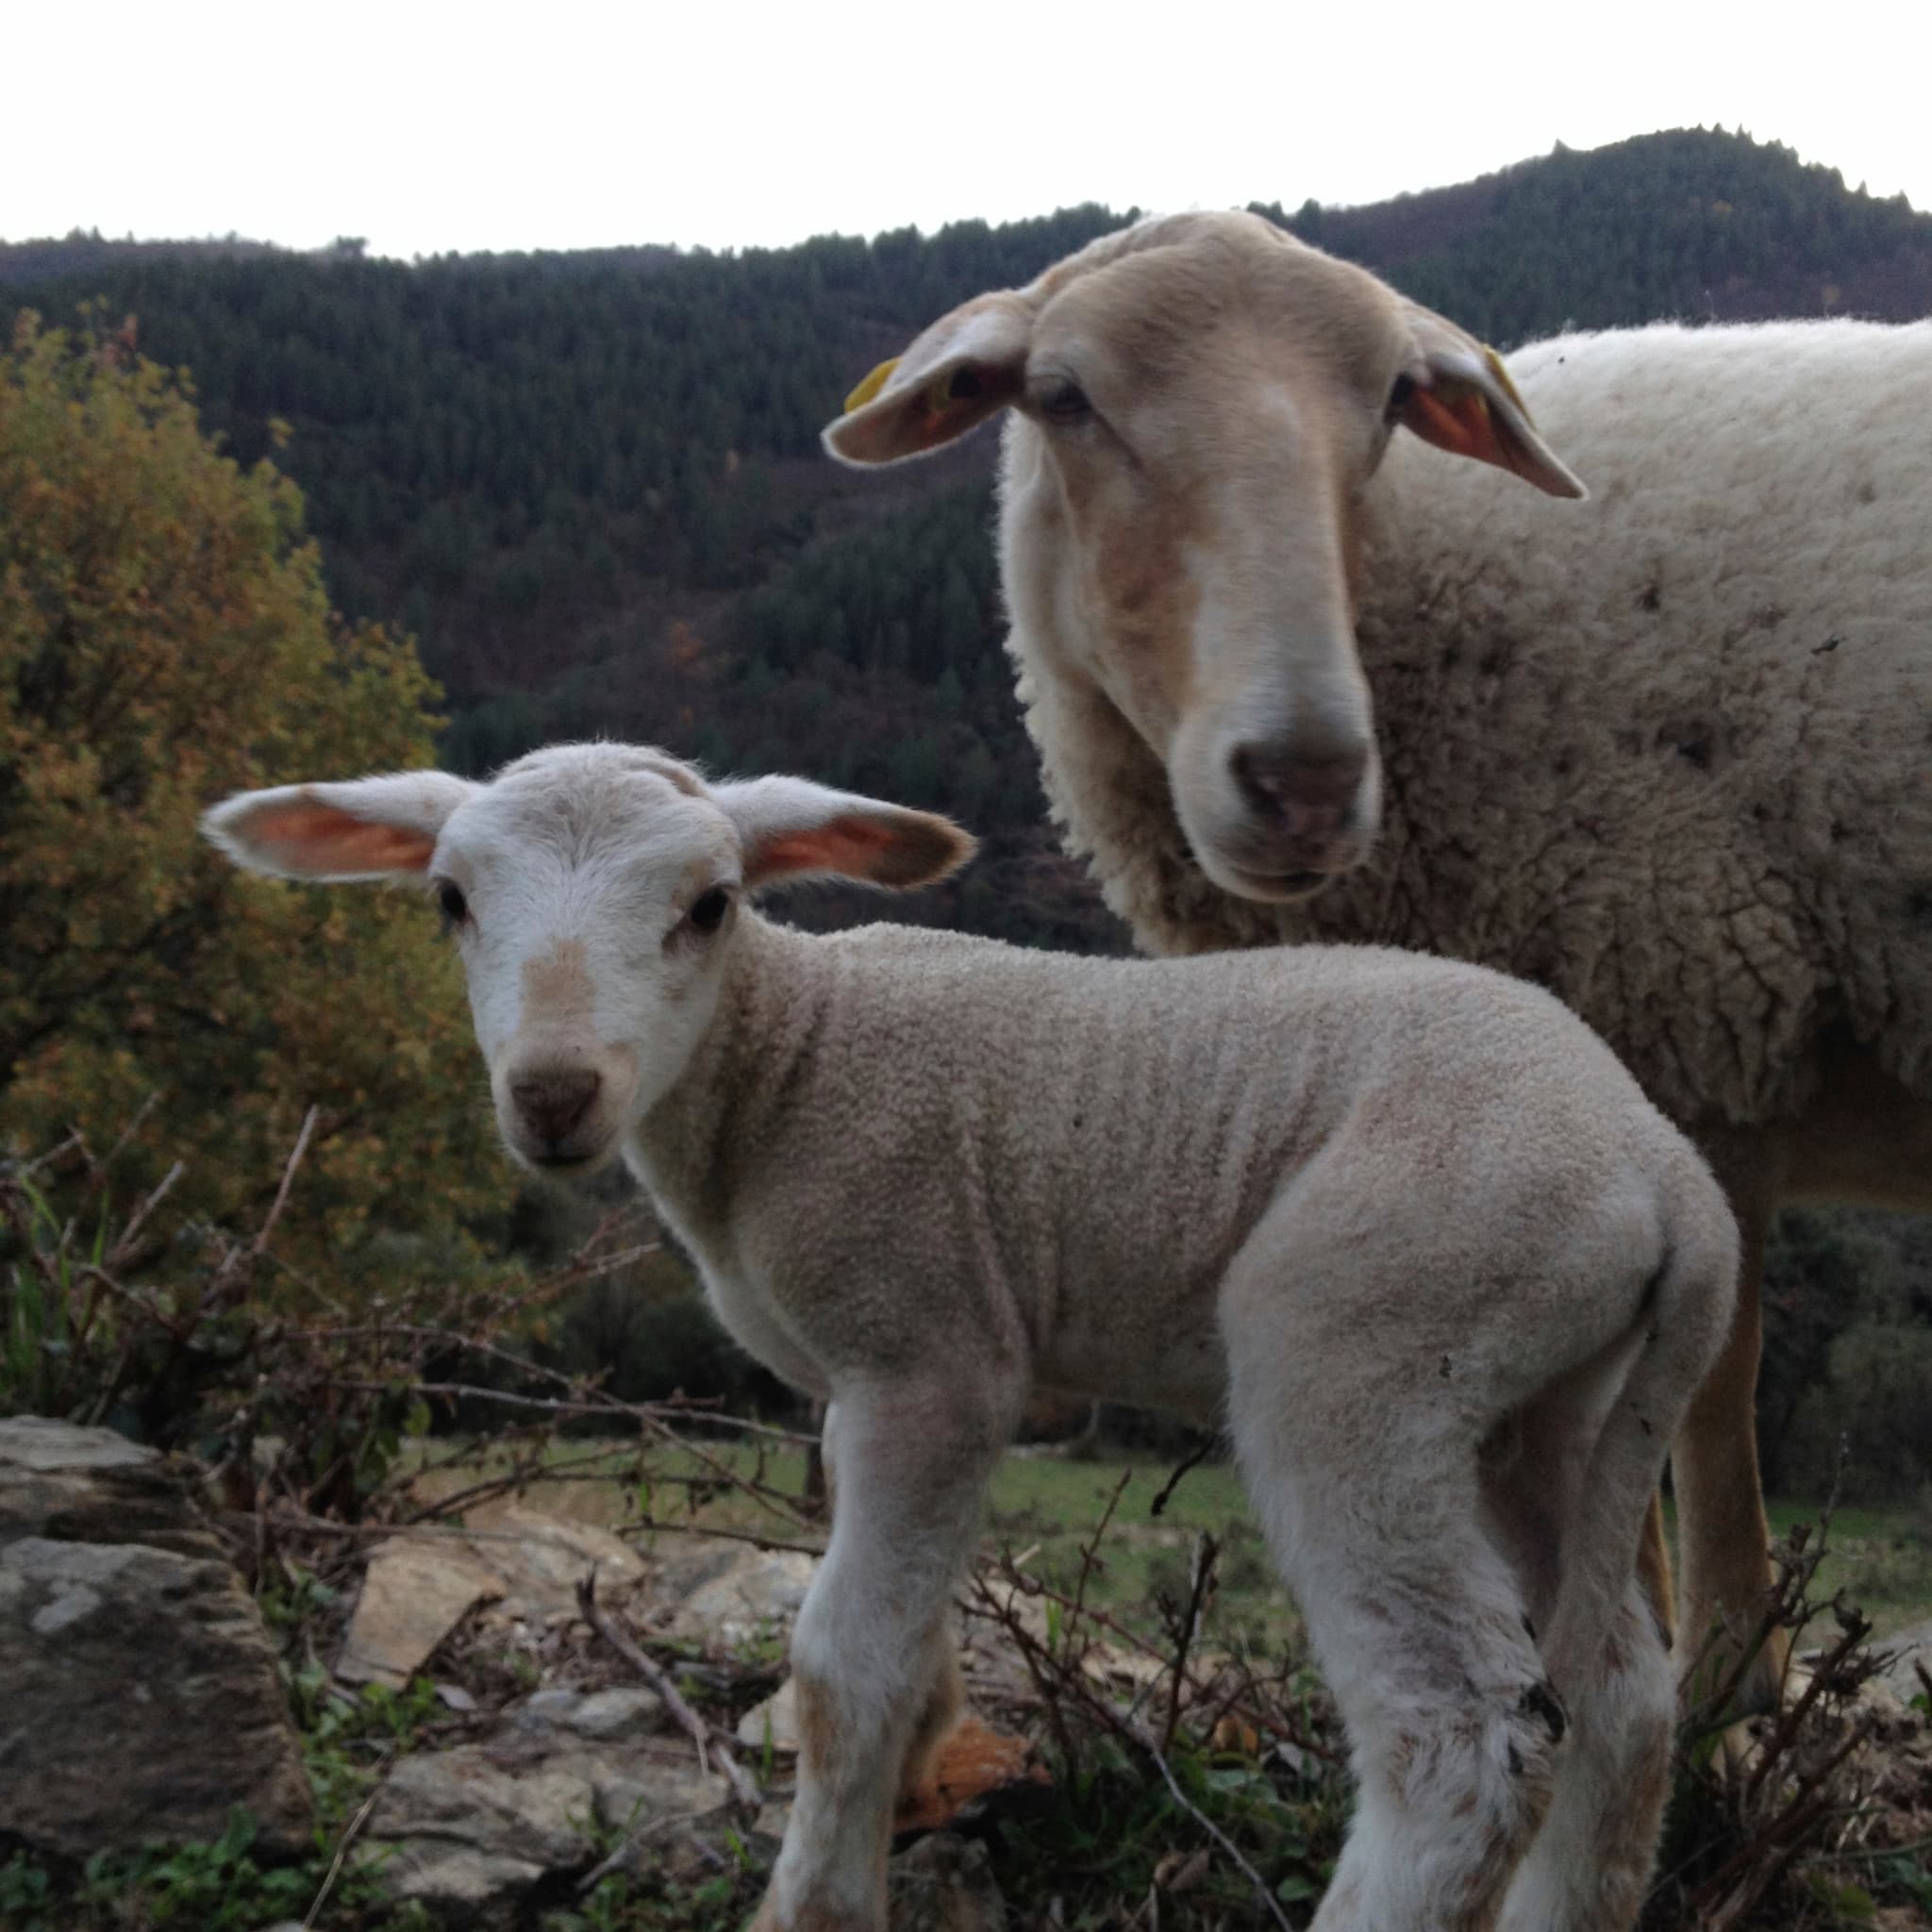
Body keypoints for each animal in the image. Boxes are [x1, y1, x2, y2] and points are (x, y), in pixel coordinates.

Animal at [205, 741, 1736, 1932]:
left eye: (710, 905)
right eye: (449, 900)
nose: (555, 1094)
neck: (785, 1063)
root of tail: (1670, 1179)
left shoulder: (928, 1352)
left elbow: (839, 1663)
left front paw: (817, 1900)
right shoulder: (864, 1381)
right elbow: (904, 1622)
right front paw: (923, 1772)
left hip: (1370, 1336)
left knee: (1466, 1734)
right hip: (1550, 1398)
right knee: (1620, 1700)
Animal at [822, 208, 1932, 1708]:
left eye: (1395, 402)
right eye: (1060, 397)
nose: (1302, 776)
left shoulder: (1701, 1014)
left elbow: (1700, 1440)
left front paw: (1721, 1715)